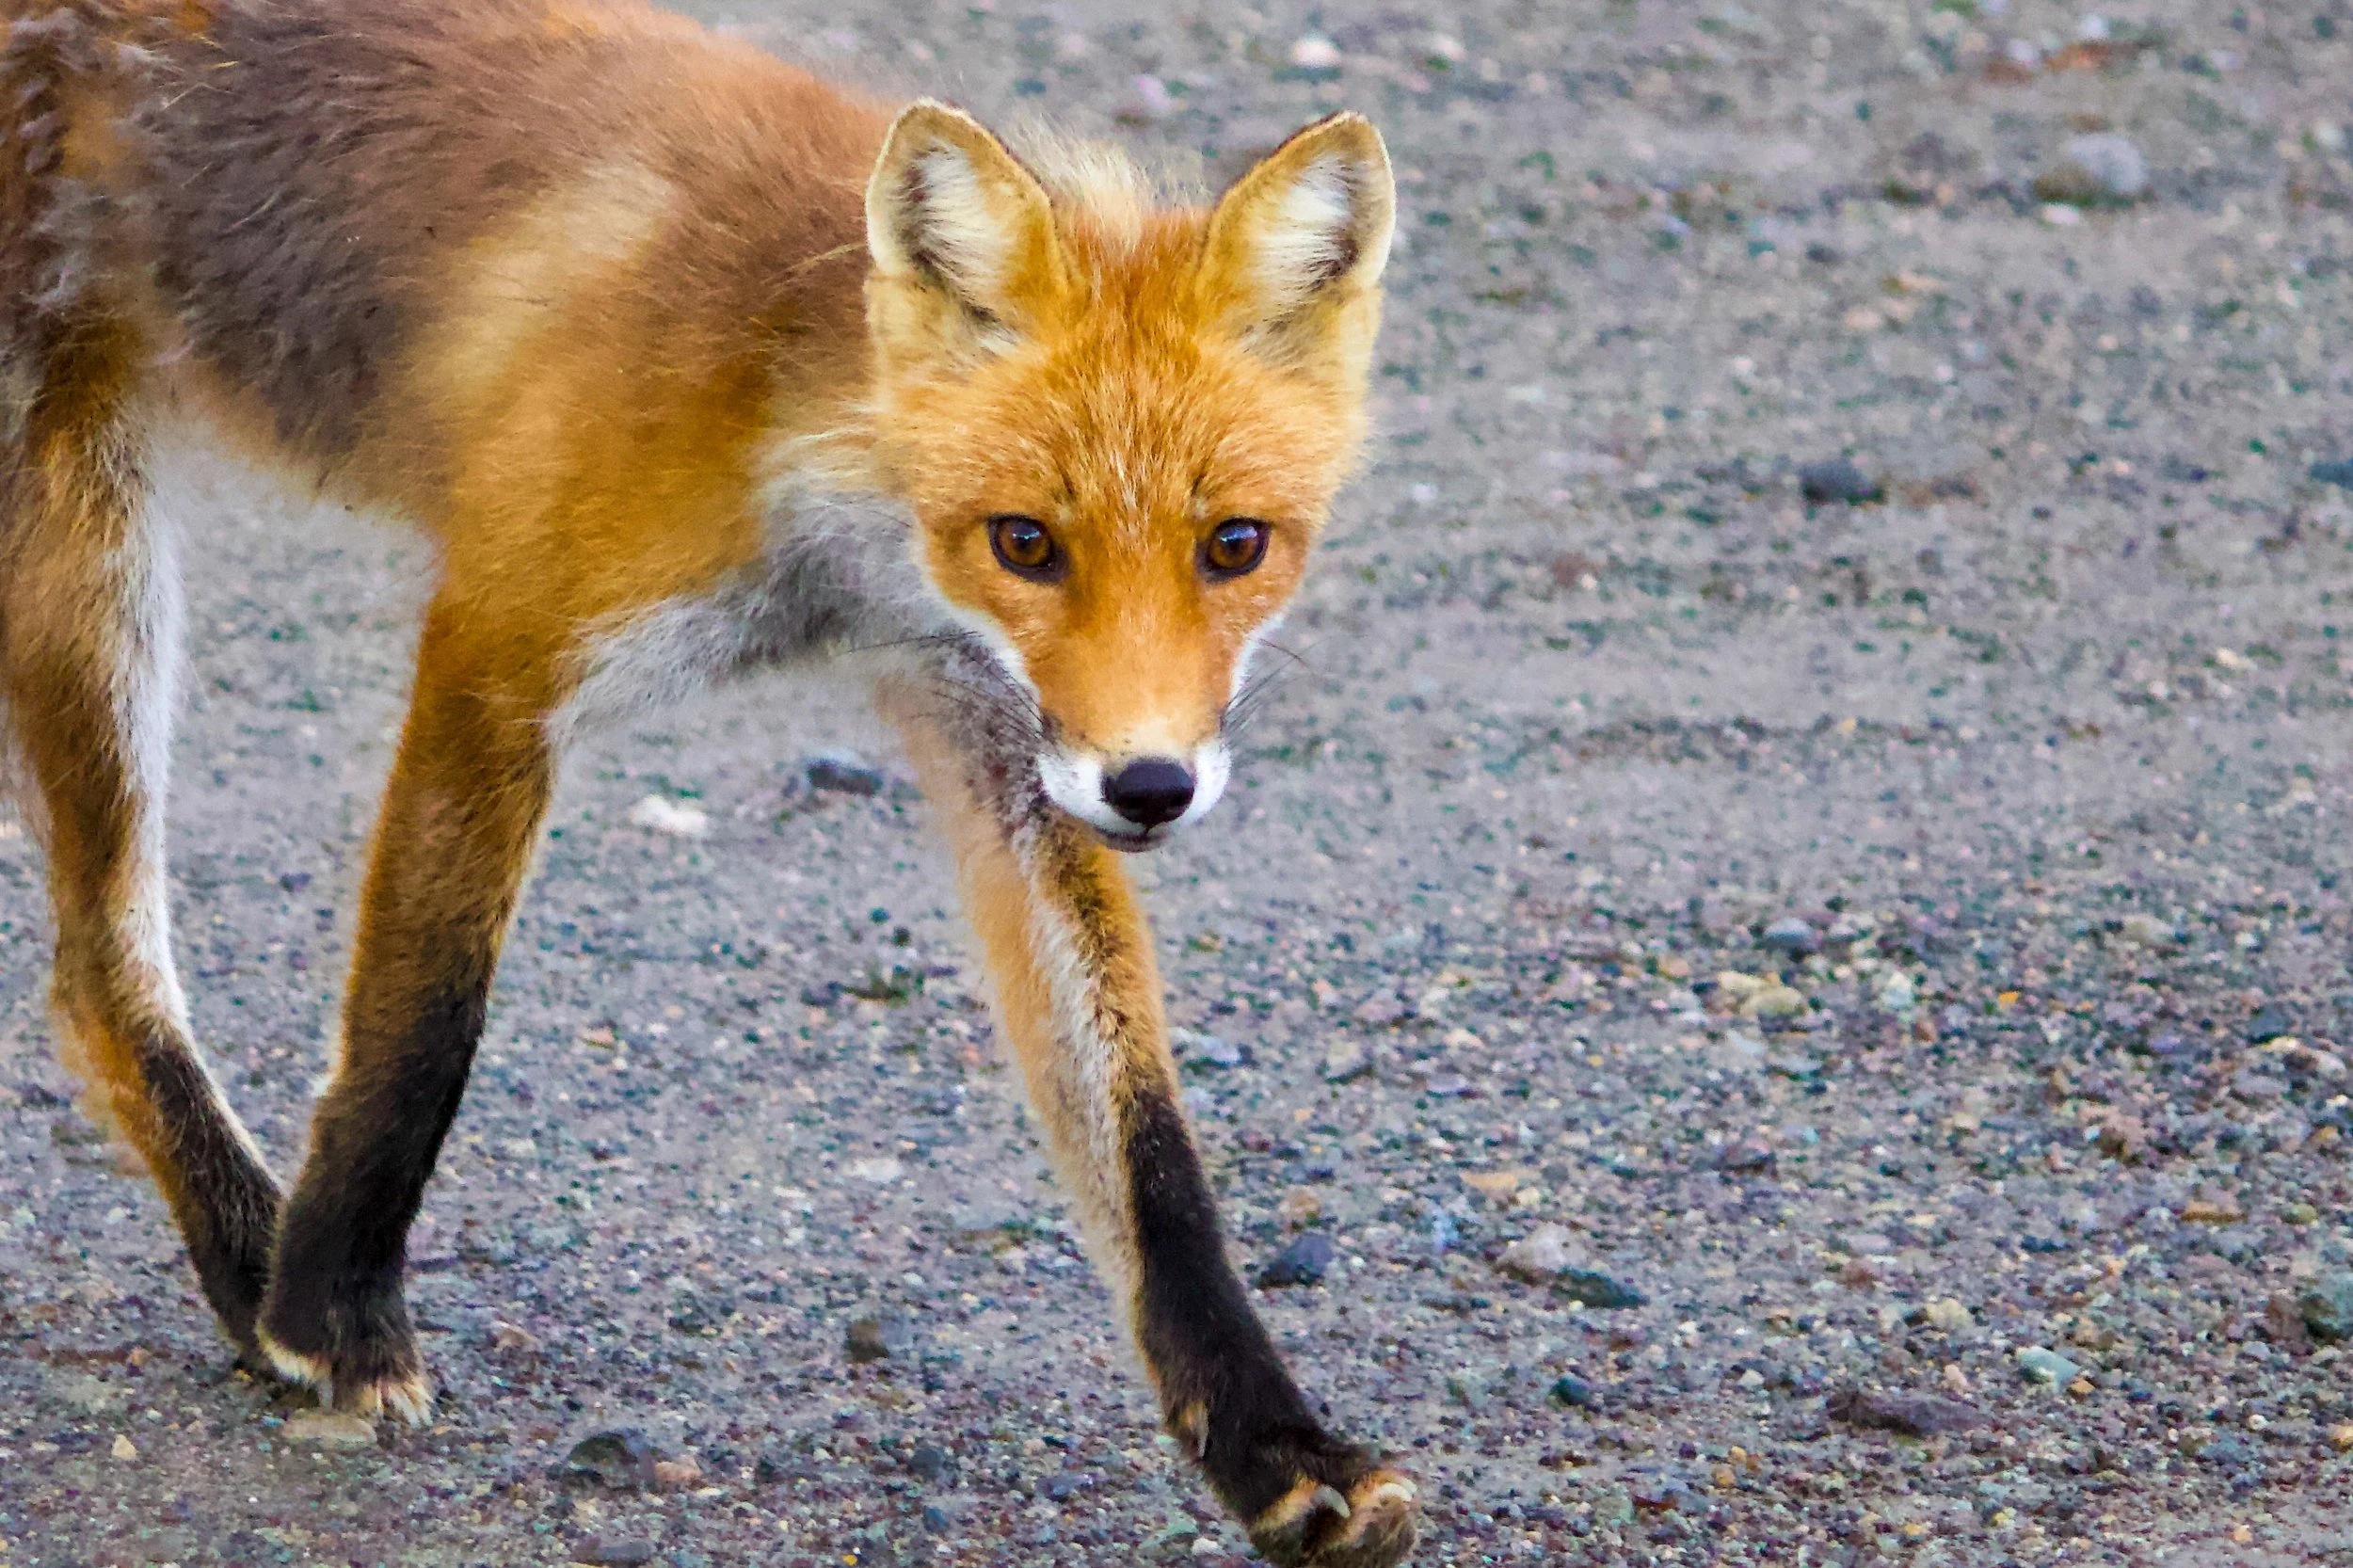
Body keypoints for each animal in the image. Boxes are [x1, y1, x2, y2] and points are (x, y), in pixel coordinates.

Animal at [0, 0, 1417, 1560]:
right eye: (1026, 543)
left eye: (1237, 546)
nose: (1154, 785)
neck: (810, 469)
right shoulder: (499, 641)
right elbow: (426, 1019)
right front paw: (331, 1311)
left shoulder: (1006, 740)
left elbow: (1148, 1145)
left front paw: (1277, 1446)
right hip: (87, 553)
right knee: (96, 973)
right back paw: (254, 1255)